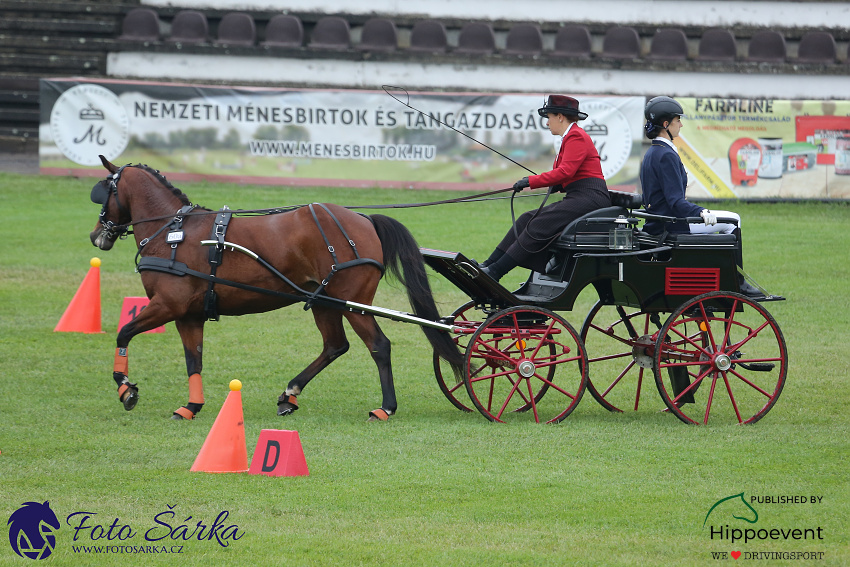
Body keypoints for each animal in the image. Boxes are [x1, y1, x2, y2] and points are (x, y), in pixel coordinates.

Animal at [89, 155, 460, 422]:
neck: (173, 233)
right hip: (324, 301)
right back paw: (290, 394)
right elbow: (194, 360)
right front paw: (191, 406)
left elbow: (124, 333)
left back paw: (385, 407)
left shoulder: (167, 305)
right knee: (334, 346)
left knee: (379, 346)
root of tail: (365, 220)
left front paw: (126, 389)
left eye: (105, 192)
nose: (96, 235)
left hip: (352, 302)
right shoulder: (188, 314)